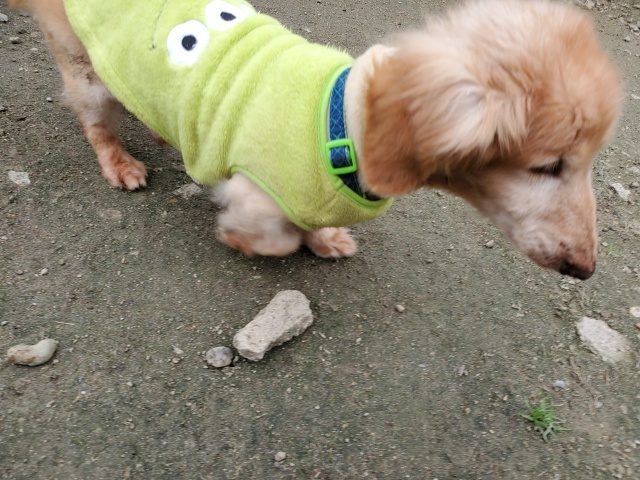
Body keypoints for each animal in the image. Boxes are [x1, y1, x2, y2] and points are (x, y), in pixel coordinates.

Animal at [7, 0, 622, 279]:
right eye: (547, 166)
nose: (586, 268)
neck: (338, 129)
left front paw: (324, 238)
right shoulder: (252, 186)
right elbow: (273, 237)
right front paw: (241, 239)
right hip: (86, 69)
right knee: (95, 122)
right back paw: (121, 163)